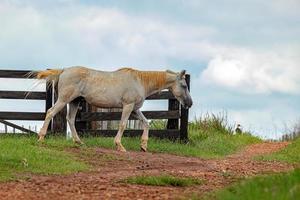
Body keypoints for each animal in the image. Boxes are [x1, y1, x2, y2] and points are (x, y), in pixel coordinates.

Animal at [36, 66, 193, 152]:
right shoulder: (128, 106)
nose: (190, 103)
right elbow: (122, 125)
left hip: (75, 102)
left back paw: (79, 142)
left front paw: (143, 146)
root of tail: (64, 70)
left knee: (70, 119)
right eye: (184, 85)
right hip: (64, 100)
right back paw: (41, 138)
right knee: (50, 112)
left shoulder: (135, 109)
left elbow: (146, 123)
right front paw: (119, 146)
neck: (140, 81)